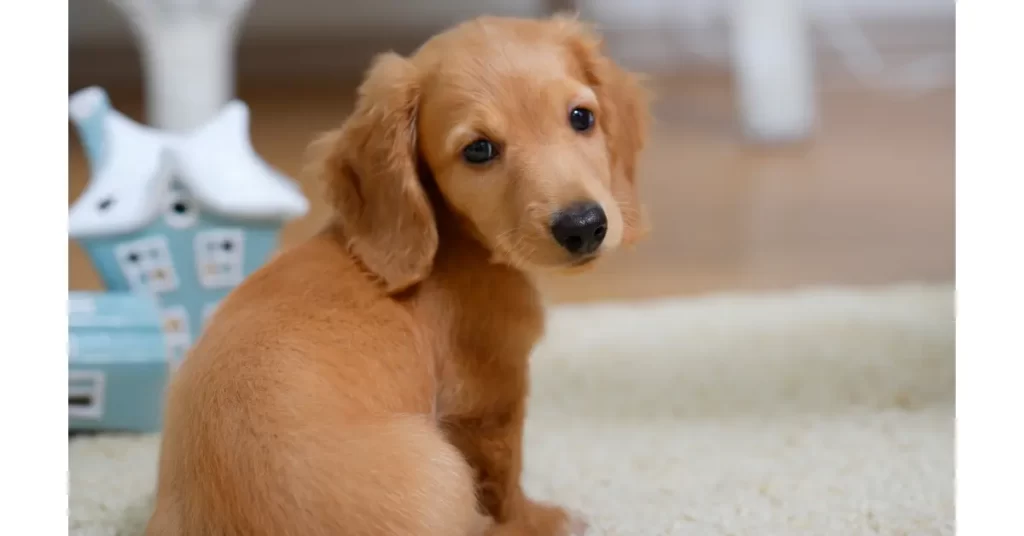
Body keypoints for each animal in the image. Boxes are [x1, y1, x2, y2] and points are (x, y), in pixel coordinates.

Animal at [146, 13, 647, 536]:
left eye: (581, 117)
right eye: (479, 150)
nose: (583, 226)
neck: (455, 240)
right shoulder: (490, 398)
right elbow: (505, 483)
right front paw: (542, 519)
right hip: (441, 467)